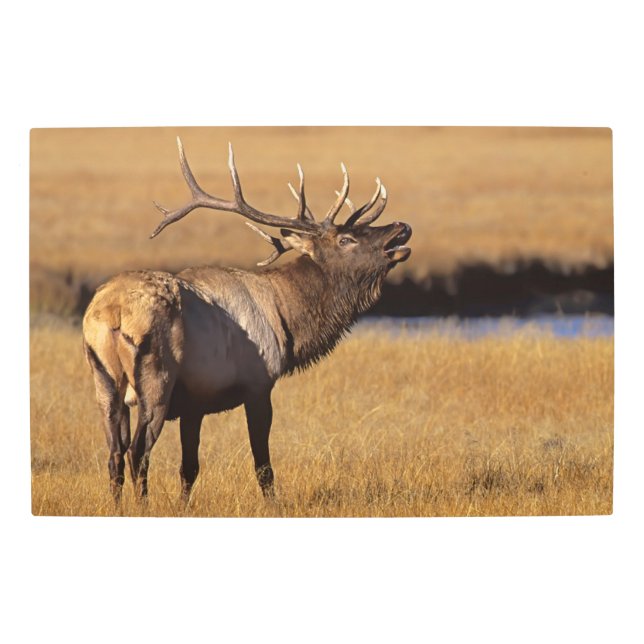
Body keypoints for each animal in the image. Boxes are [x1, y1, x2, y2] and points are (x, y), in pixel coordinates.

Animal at [82, 137, 412, 504]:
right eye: (346, 239)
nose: (401, 226)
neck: (287, 321)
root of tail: (111, 313)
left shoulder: (195, 402)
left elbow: (189, 468)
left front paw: (183, 506)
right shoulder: (258, 385)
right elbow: (263, 466)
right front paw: (274, 506)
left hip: (103, 381)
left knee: (114, 454)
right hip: (155, 379)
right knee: (137, 452)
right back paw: (143, 506)